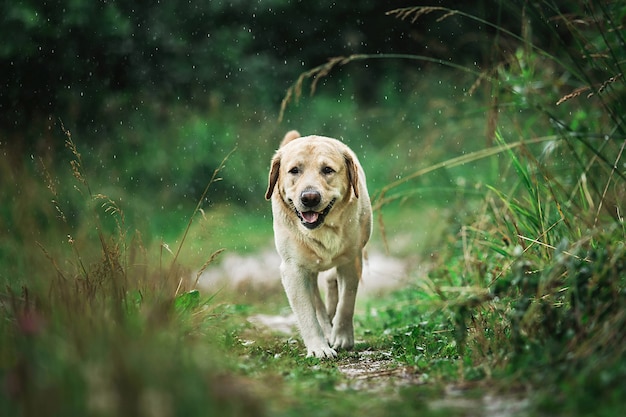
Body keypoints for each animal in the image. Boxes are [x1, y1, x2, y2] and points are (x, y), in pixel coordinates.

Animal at [264, 131, 370, 358]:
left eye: (327, 170)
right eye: (294, 170)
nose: (310, 197)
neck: (324, 228)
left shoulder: (351, 260)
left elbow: (347, 302)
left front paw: (342, 337)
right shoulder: (293, 270)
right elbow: (307, 313)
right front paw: (319, 348)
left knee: (331, 283)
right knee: (316, 301)